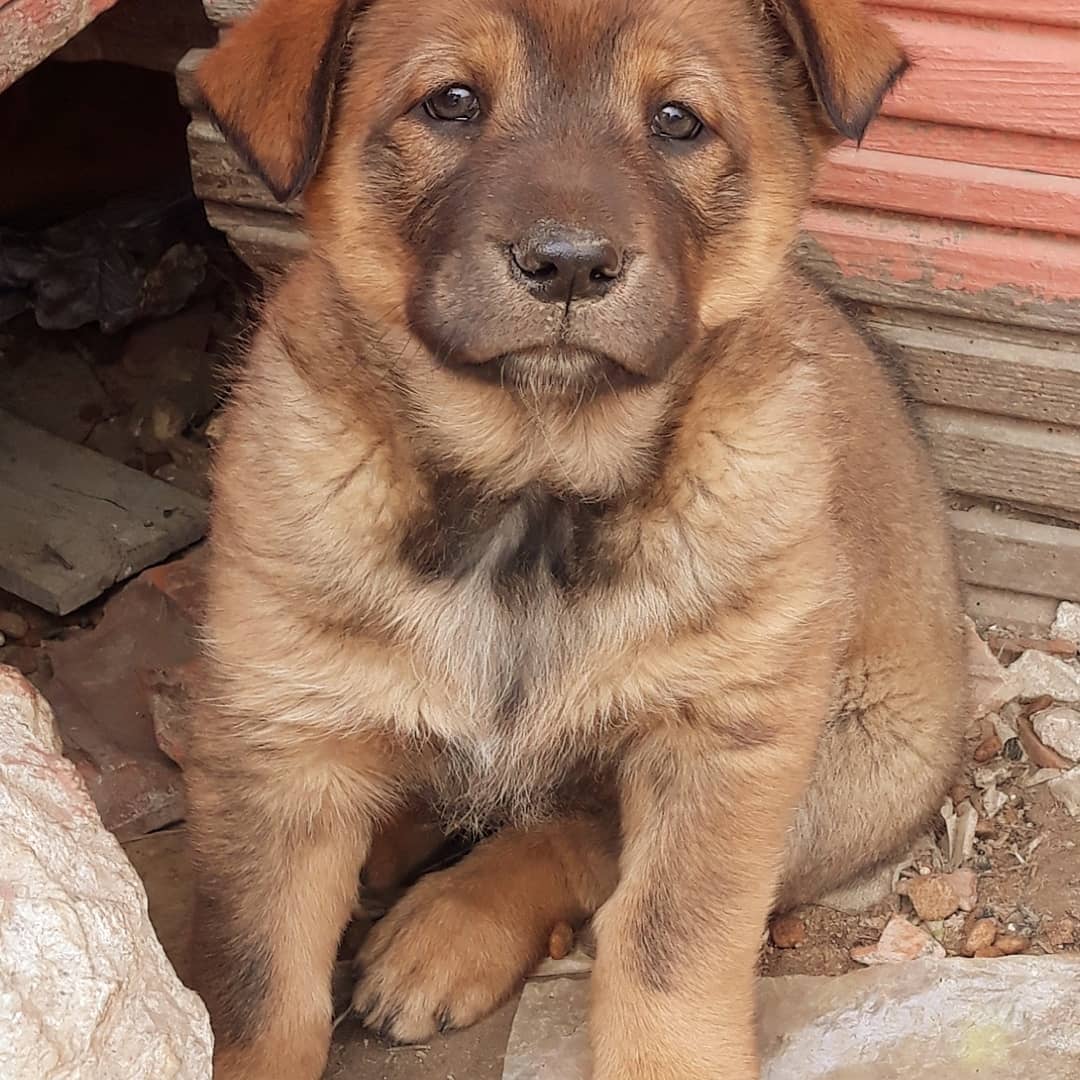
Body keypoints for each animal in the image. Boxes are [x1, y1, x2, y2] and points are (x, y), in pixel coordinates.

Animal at [190, 2, 967, 1080]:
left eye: (678, 120)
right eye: (452, 101)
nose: (566, 265)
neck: (534, 485)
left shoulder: (725, 739)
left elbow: (667, 947)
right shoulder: (279, 740)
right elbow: (263, 991)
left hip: (848, 763)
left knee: (575, 833)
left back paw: (447, 929)